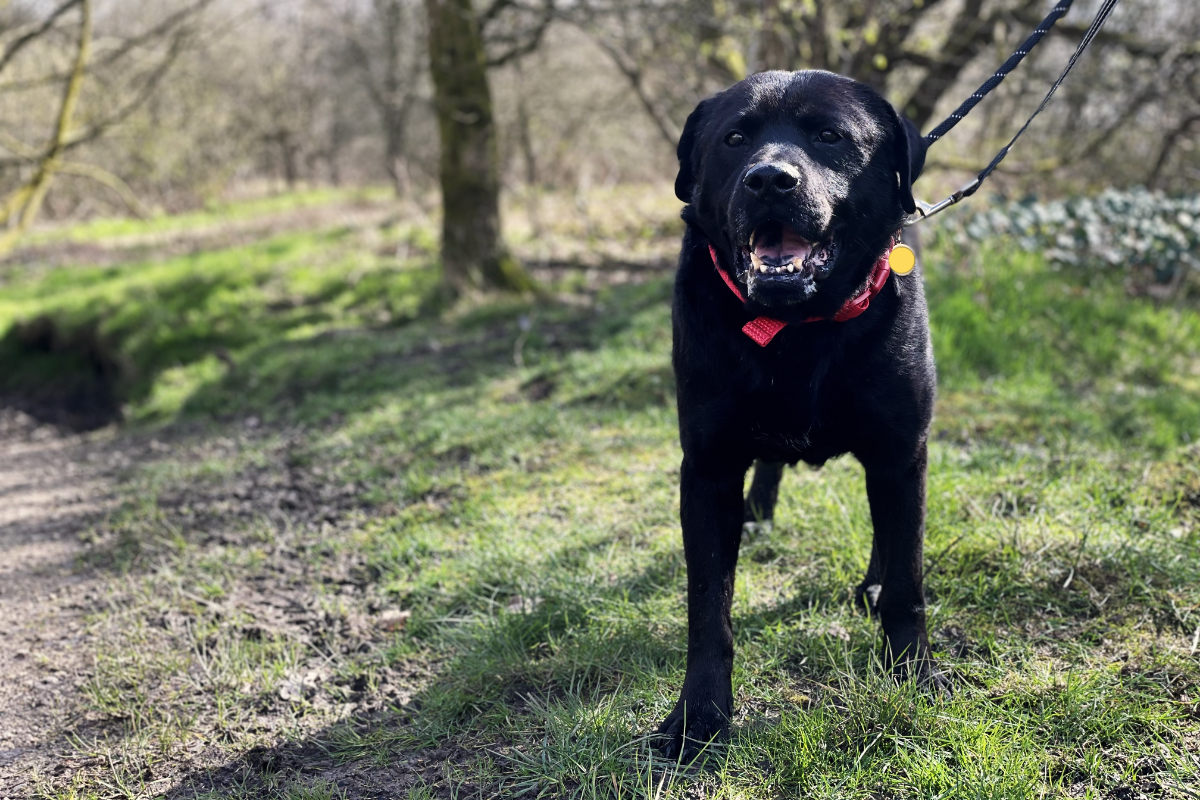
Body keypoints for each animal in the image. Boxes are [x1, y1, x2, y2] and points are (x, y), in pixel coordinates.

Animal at [662, 71, 940, 762]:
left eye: (829, 136)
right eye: (735, 139)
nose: (769, 179)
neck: (800, 327)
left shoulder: (902, 451)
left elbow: (909, 583)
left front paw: (914, 674)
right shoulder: (707, 468)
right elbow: (709, 609)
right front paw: (699, 716)